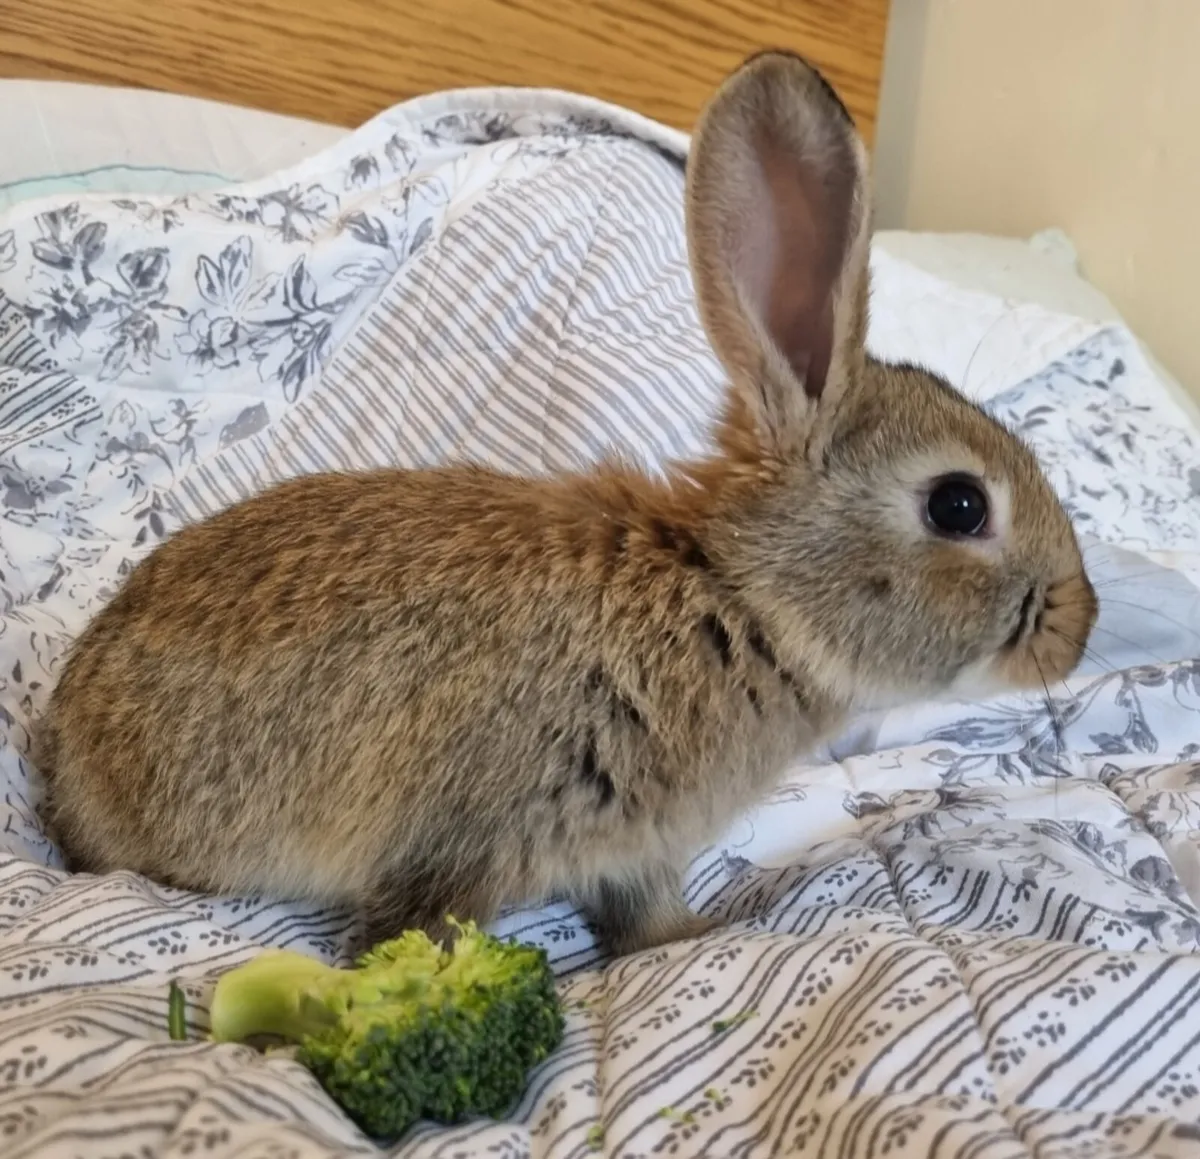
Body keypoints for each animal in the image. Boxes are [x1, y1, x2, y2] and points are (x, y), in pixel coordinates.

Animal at [33, 51, 1098, 958]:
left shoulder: (637, 849)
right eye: (959, 506)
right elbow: (418, 933)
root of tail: (61, 748)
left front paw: (695, 937)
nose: (1080, 626)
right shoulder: (467, 831)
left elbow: (643, 920)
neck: (738, 603)